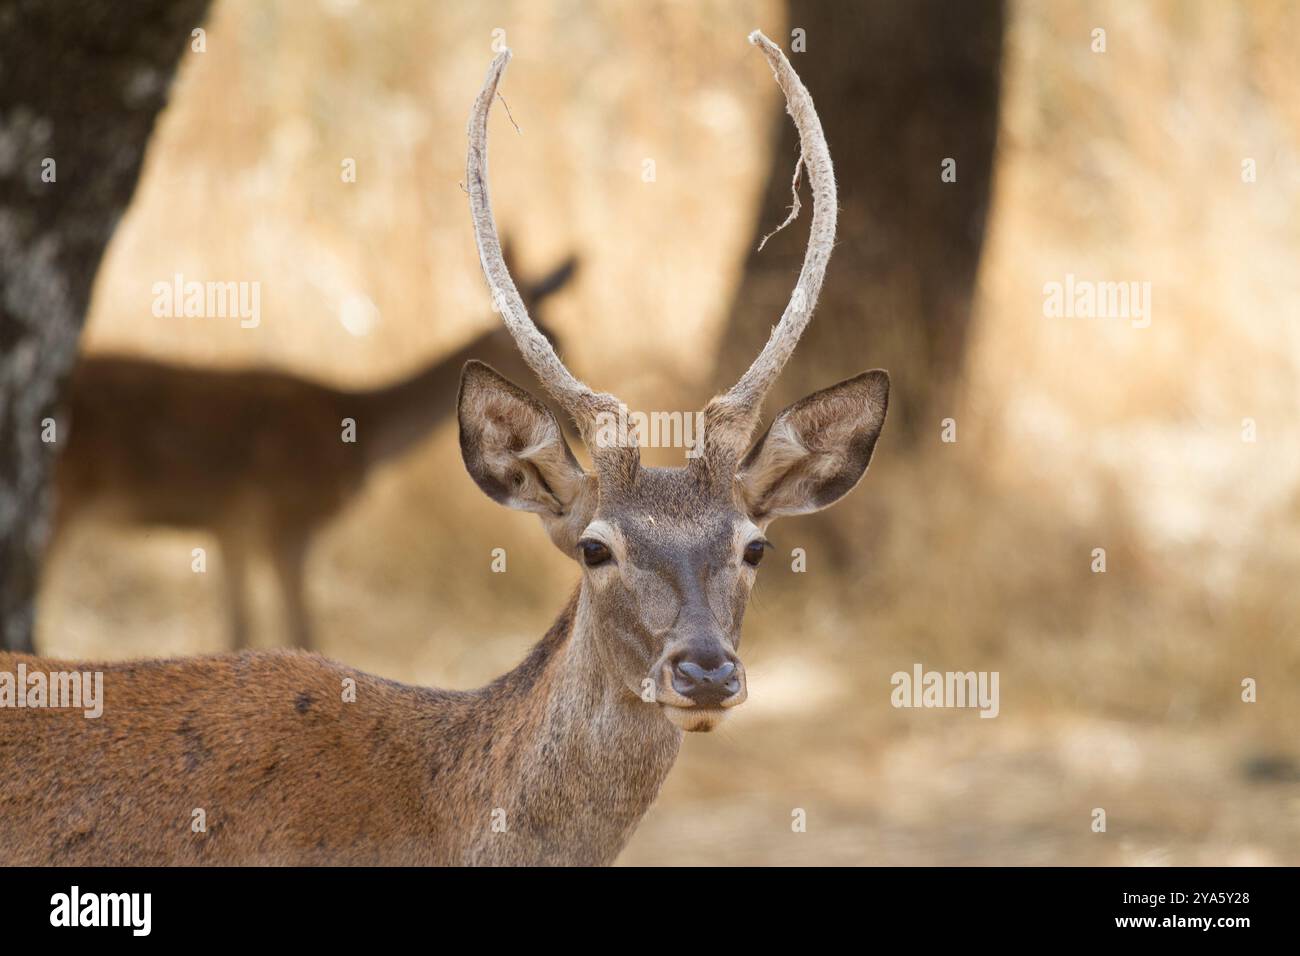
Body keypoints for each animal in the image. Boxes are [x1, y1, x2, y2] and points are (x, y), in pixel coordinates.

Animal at [47, 247, 574, 655]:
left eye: (560, 339)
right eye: (539, 347)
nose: (572, 421)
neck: (360, 429)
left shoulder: (231, 527)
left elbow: (239, 632)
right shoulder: (288, 519)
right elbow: (303, 633)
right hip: (64, 501)